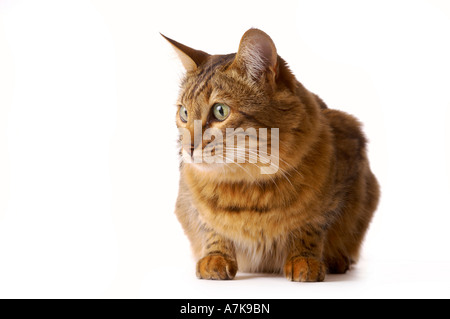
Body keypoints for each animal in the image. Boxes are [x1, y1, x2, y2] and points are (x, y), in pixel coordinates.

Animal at [162, 29, 380, 282]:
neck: (246, 188)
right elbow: (212, 229)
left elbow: (311, 227)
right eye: (184, 113)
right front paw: (216, 257)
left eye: (220, 111)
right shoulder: (190, 202)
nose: (188, 148)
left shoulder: (339, 185)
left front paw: (304, 259)